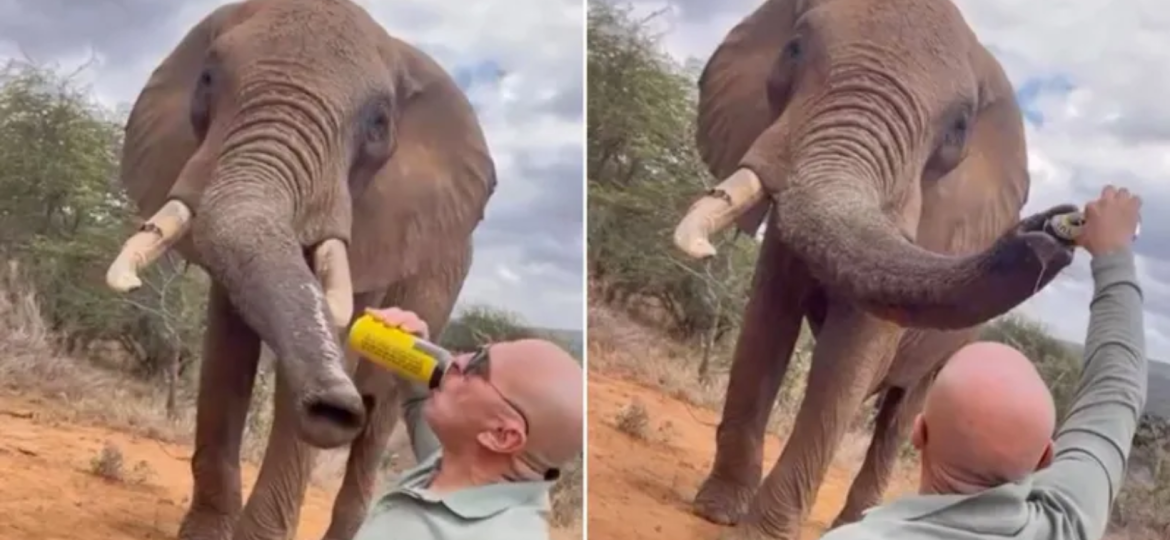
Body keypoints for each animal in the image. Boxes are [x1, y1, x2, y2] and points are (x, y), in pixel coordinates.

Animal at [669, 0, 1077, 538]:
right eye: (793, 50)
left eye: (959, 128)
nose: (1057, 227)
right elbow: (767, 321)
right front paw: (716, 511)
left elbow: (852, 353)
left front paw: (763, 531)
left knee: (904, 410)